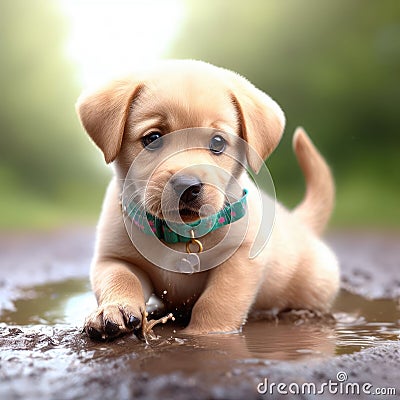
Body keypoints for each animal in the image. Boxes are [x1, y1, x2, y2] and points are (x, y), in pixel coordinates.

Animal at [76, 60, 340, 340]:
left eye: (218, 142)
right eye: (153, 138)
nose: (187, 186)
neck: (179, 236)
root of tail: (299, 222)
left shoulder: (241, 259)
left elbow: (217, 301)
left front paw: (204, 334)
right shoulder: (113, 257)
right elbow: (120, 278)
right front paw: (114, 309)